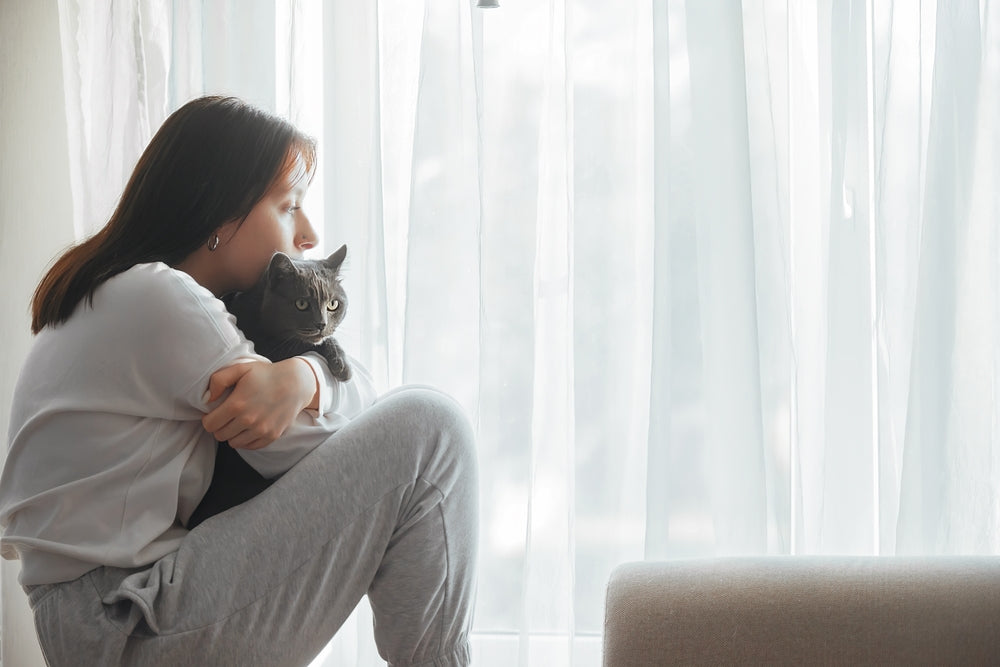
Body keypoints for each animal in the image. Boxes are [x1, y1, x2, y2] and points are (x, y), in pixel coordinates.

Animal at [187, 245, 352, 532]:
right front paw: (341, 362)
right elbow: (303, 344)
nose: (321, 324)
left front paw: (339, 360)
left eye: (333, 304)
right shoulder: (269, 348)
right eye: (301, 304)